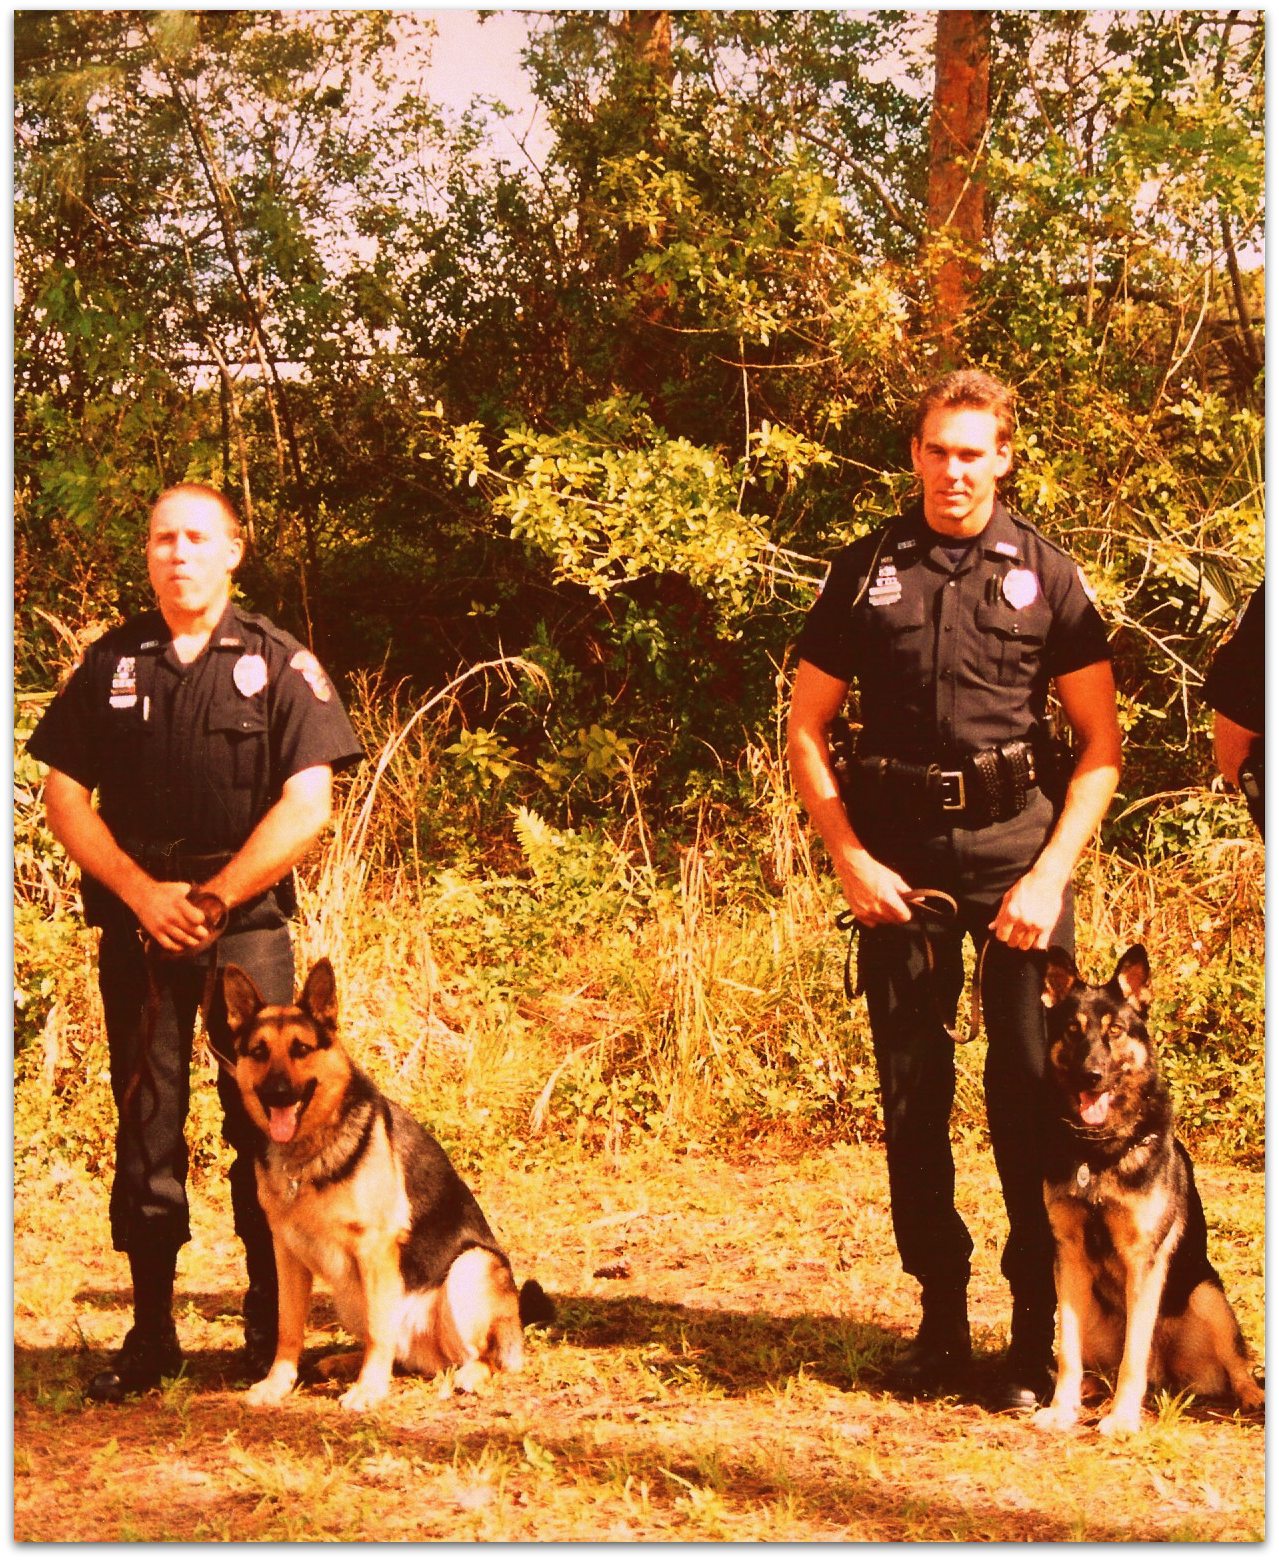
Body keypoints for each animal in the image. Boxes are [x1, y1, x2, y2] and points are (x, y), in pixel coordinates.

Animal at [223, 954, 552, 1410]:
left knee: (479, 1355)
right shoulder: (286, 1253)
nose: (278, 1094)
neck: (307, 1153)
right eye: (258, 1052)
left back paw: (466, 1374)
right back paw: (346, 1361)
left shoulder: (375, 1249)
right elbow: (288, 1328)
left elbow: (381, 1331)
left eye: (301, 1049)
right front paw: (277, 1384)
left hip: (468, 1269)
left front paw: (369, 1390)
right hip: (351, 1294)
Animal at [1035, 935, 1266, 1435]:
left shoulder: (1144, 1258)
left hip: (1207, 1295)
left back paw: (1251, 1395)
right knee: (1087, 1360)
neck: (1100, 1153)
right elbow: (1068, 1352)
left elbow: (1133, 1356)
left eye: (1116, 1031)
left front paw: (1122, 1418)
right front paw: (1062, 1409)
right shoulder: (1069, 1254)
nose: (1091, 1077)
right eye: (1073, 1030)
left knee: (1235, 1362)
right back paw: (1085, 1391)